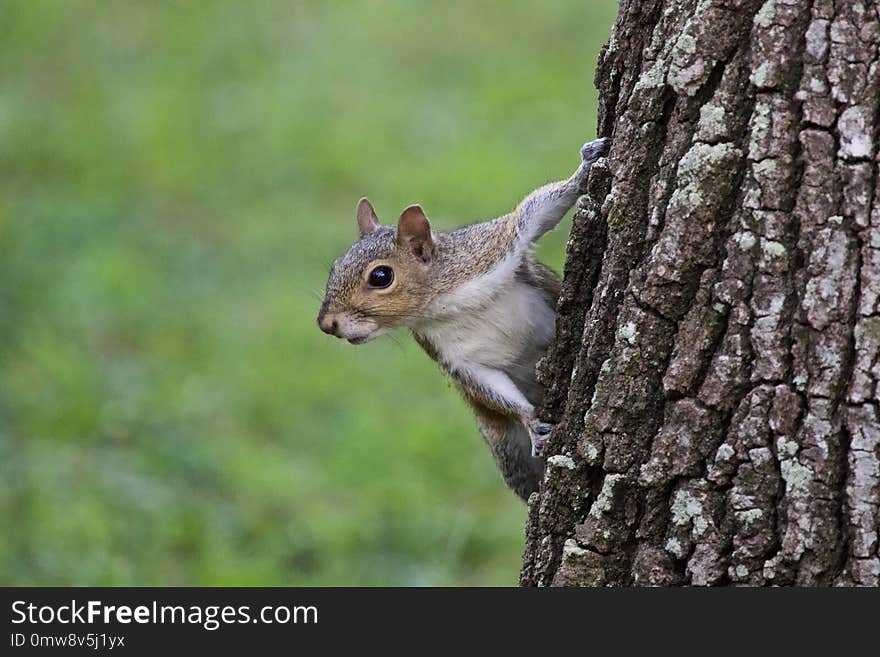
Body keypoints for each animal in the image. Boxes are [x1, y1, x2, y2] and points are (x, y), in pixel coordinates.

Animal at [318, 137, 612, 498]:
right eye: (335, 266)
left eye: (381, 276)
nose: (326, 324)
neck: (444, 303)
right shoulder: (454, 356)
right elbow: (486, 385)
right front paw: (531, 421)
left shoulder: (490, 249)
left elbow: (533, 213)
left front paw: (583, 170)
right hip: (507, 450)